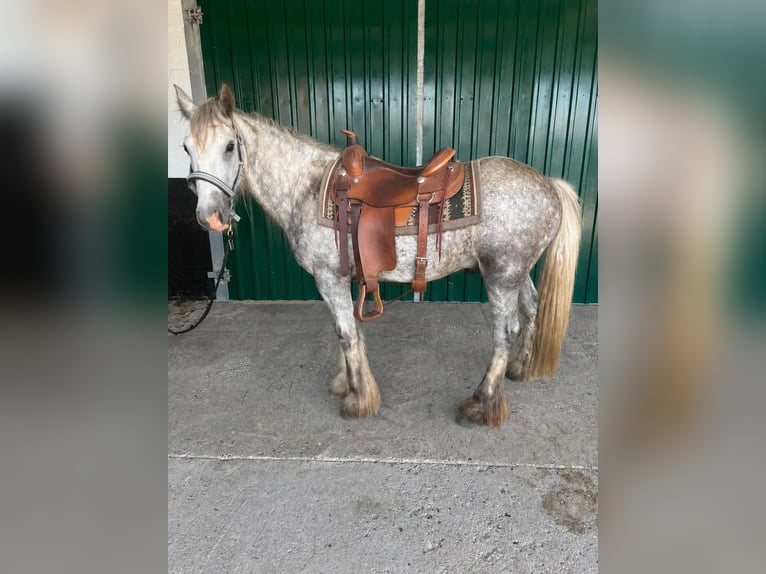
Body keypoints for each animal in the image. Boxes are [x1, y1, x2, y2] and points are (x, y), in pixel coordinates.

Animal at [174, 83, 581, 427]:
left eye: (230, 146)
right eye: (186, 147)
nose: (209, 216)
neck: (308, 188)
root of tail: (548, 184)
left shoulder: (328, 277)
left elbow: (345, 332)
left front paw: (358, 399)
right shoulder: (339, 279)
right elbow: (346, 330)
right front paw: (346, 383)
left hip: (501, 276)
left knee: (505, 331)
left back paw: (483, 402)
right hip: (517, 274)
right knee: (531, 310)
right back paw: (521, 368)